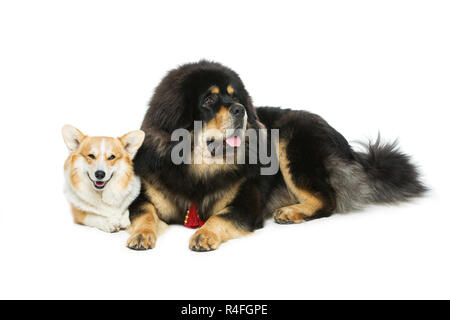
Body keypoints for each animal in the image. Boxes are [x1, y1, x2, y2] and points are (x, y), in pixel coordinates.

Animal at [126, 59, 426, 250]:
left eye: (235, 98)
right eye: (208, 100)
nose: (240, 110)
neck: (198, 168)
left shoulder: (245, 205)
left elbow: (219, 217)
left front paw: (204, 234)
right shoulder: (145, 196)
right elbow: (144, 214)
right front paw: (141, 235)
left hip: (290, 141)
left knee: (327, 200)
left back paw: (292, 212)